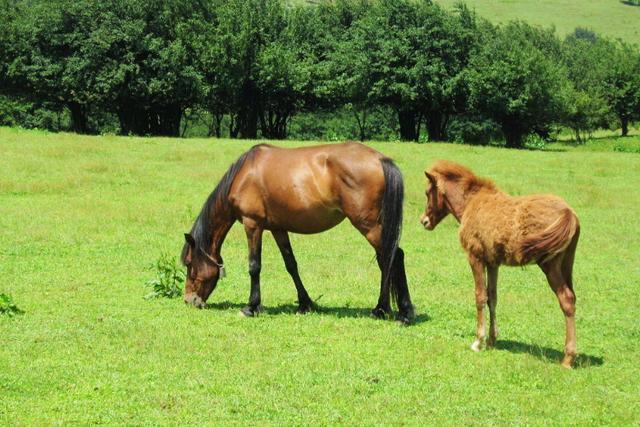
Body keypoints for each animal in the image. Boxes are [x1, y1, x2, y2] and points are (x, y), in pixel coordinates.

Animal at [180, 141, 416, 324]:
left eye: (190, 264)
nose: (189, 301)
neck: (244, 174)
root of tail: (381, 159)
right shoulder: (278, 228)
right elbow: (291, 264)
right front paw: (305, 304)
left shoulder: (252, 224)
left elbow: (254, 266)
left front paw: (251, 307)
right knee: (386, 259)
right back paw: (385, 309)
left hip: (368, 225)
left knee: (394, 257)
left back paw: (398, 312)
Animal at [420, 160, 580, 368]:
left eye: (427, 192)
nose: (424, 221)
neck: (471, 202)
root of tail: (569, 213)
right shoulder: (493, 263)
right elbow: (492, 298)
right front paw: (491, 340)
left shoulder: (475, 258)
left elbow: (480, 297)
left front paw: (478, 341)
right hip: (567, 265)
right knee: (572, 299)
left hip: (550, 266)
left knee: (566, 299)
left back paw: (568, 358)